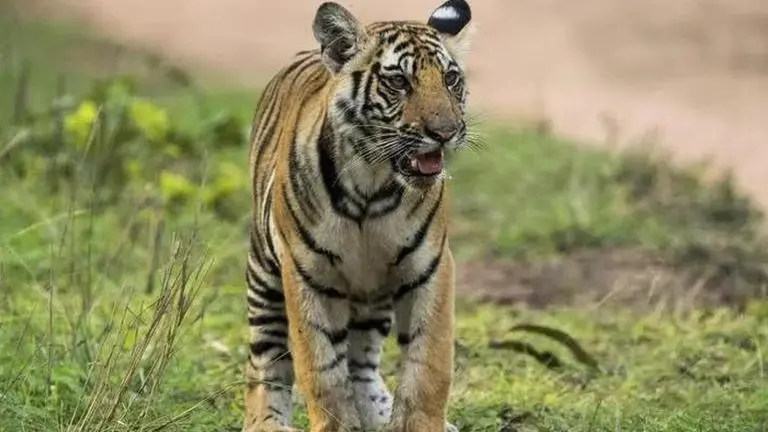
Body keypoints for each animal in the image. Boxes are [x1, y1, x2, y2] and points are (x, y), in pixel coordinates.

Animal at [242, 1, 473, 431]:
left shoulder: (429, 267)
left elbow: (428, 365)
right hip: (264, 276)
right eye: (399, 82)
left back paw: (380, 414)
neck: (373, 184)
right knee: (266, 360)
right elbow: (322, 372)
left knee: (361, 361)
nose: (446, 131)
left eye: (451, 79)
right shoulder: (306, 274)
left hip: (373, 295)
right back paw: (266, 422)